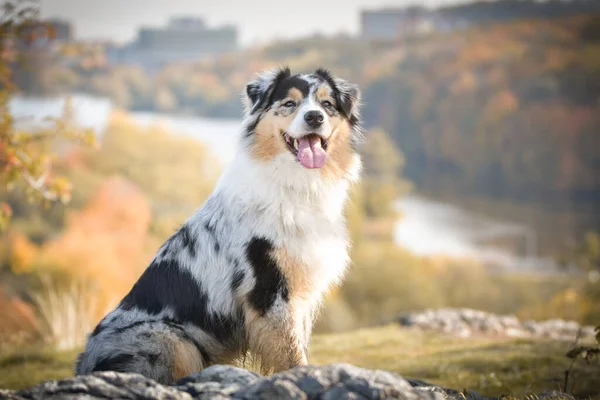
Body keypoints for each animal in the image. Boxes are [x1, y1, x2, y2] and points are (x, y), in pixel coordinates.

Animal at [75, 66, 366, 384]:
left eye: (327, 104)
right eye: (290, 103)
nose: (314, 117)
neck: (298, 185)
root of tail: (83, 364)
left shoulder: (297, 293)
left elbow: (296, 346)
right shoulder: (269, 290)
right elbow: (290, 355)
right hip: (170, 339)